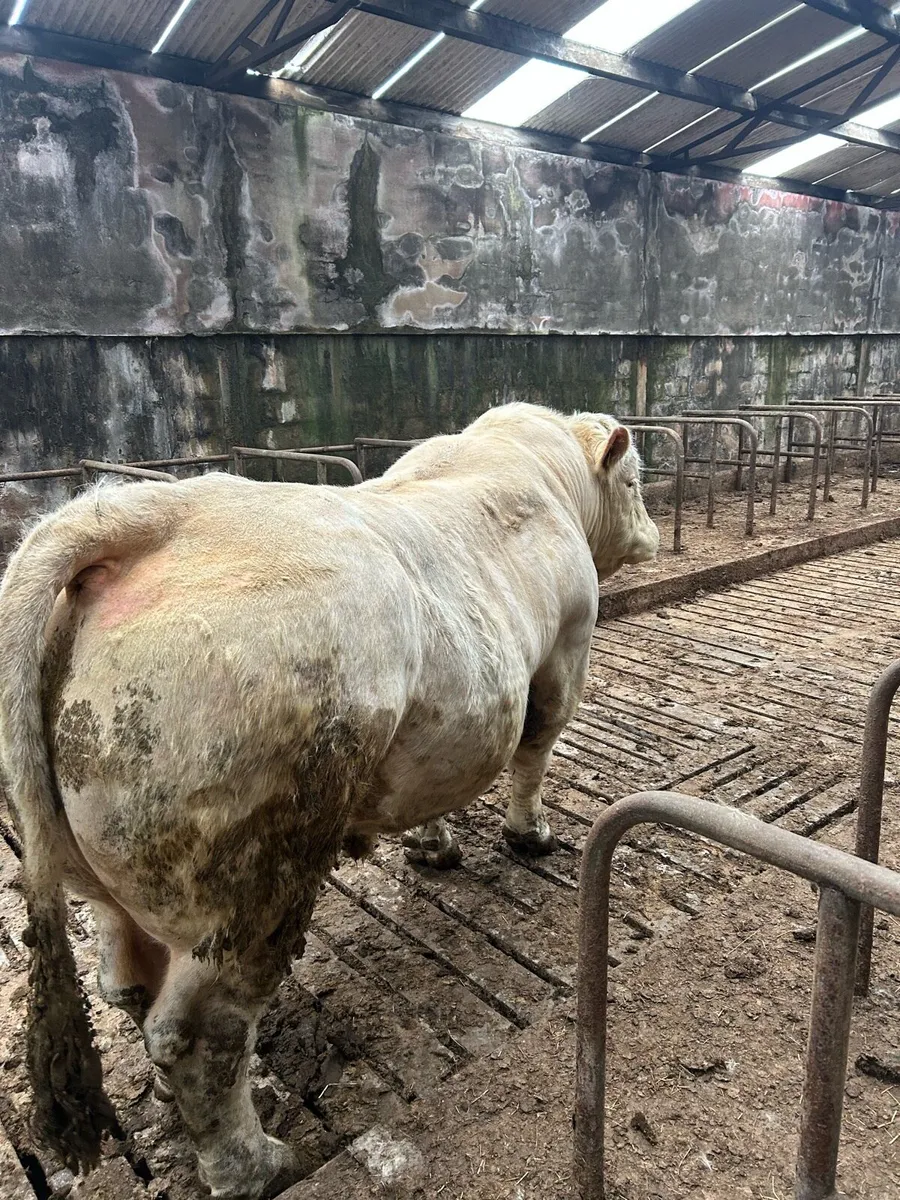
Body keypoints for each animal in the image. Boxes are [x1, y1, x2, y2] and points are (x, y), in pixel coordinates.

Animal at [0, 403, 658, 1199]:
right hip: (253, 882)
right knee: (201, 1030)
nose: (654, 533)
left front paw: (432, 847)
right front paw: (530, 836)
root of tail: (140, 516)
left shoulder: (453, 716)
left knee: (128, 984)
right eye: (636, 479)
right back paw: (255, 1165)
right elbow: (534, 753)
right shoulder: (566, 647)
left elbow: (441, 777)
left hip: (101, 871)